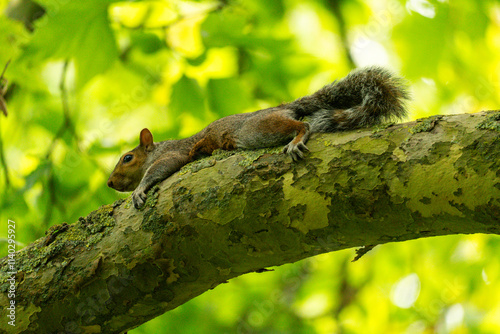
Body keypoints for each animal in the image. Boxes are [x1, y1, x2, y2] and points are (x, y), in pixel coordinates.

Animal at [107, 66, 408, 209]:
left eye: (128, 158)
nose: (109, 183)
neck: (157, 149)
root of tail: (284, 107)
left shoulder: (174, 154)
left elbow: (160, 169)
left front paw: (138, 190)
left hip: (254, 131)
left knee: (302, 126)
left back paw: (296, 140)